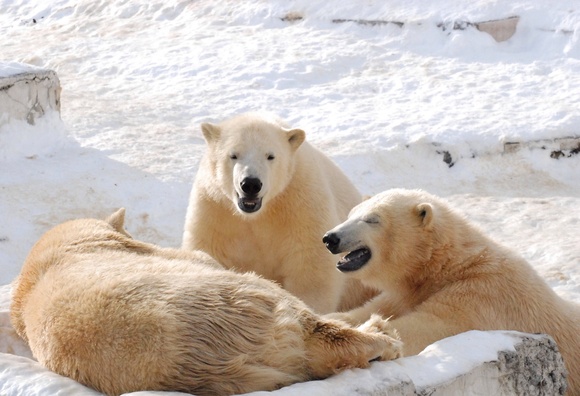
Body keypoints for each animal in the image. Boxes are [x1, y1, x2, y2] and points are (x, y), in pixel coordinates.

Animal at [184, 113, 376, 314]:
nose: (251, 184)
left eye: (270, 156)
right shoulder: (215, 207)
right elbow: (209, 252)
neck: (258, 214)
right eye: (233, 155)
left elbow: (310, 266)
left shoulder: (301, 202)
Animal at [322, 189, 580, 396]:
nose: (330, 238)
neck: (450, 265)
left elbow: (432, 325)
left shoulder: (481, 293)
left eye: (371, 219)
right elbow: (372, 308)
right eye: (350, 215)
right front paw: (335, 320)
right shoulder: (407, 293)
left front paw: (379, 333)